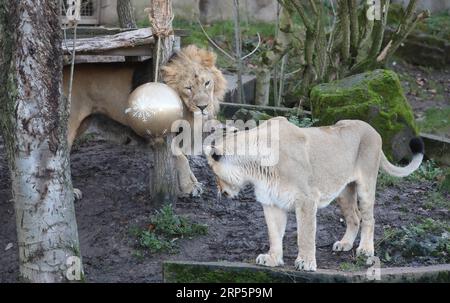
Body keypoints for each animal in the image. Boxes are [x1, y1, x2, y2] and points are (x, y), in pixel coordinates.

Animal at [64, 45, 227, 200]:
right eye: (188, 88)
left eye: (207, 83)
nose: (203, 107)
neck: (186, 109)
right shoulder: (158, 132)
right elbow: (182, 159)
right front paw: (189, 187)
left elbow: (183, 159)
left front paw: (193, 185)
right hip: (70, 126)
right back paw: (72, 192)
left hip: (84, 123)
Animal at [206, 117, 424, 272]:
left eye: (214, 173)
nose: (220, 191)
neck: (255, 168)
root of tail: (372, 128)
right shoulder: (271, 202)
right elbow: (274, 234)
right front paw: (272, 259)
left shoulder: (306, 199)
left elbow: (305, 234)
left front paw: (306, 263)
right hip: (343, 191)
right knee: (354, 217)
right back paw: (344, 244)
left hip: (366, 184)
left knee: (369, 218)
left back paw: (365, 250)